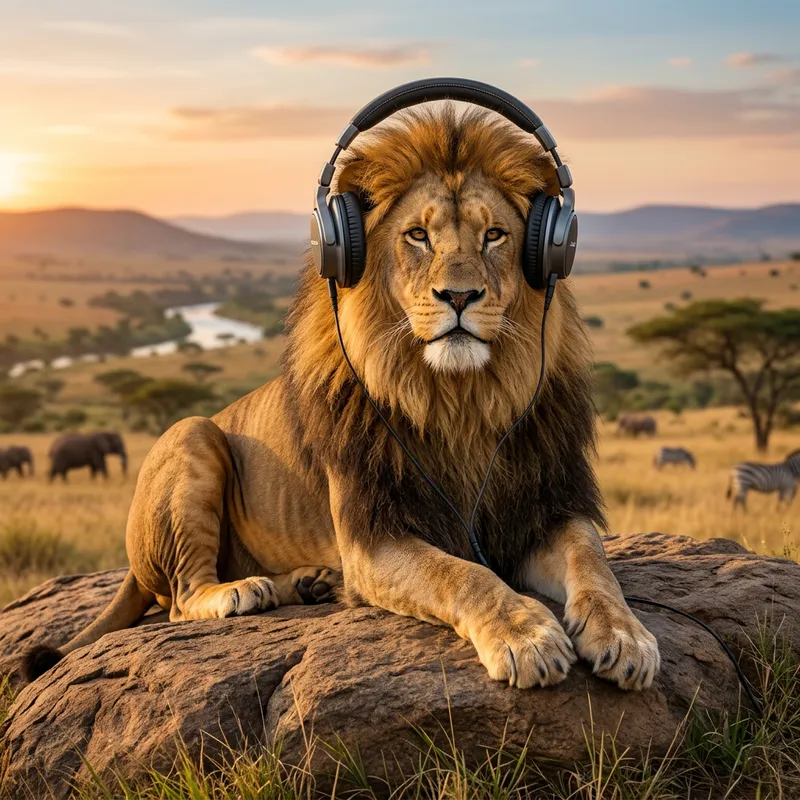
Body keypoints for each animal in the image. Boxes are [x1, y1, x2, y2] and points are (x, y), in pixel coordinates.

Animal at [23, 105, 659, 691]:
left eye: (495, 235)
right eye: (418, 235)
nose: (459, 296)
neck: (460, 398)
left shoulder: (543, 507)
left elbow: (592, 560)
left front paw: (626, 635)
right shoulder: (371, 538)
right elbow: (463, 575)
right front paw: (525, 635)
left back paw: (307, 583)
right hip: (191, 432)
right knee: (179, 599)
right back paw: (242, 592)